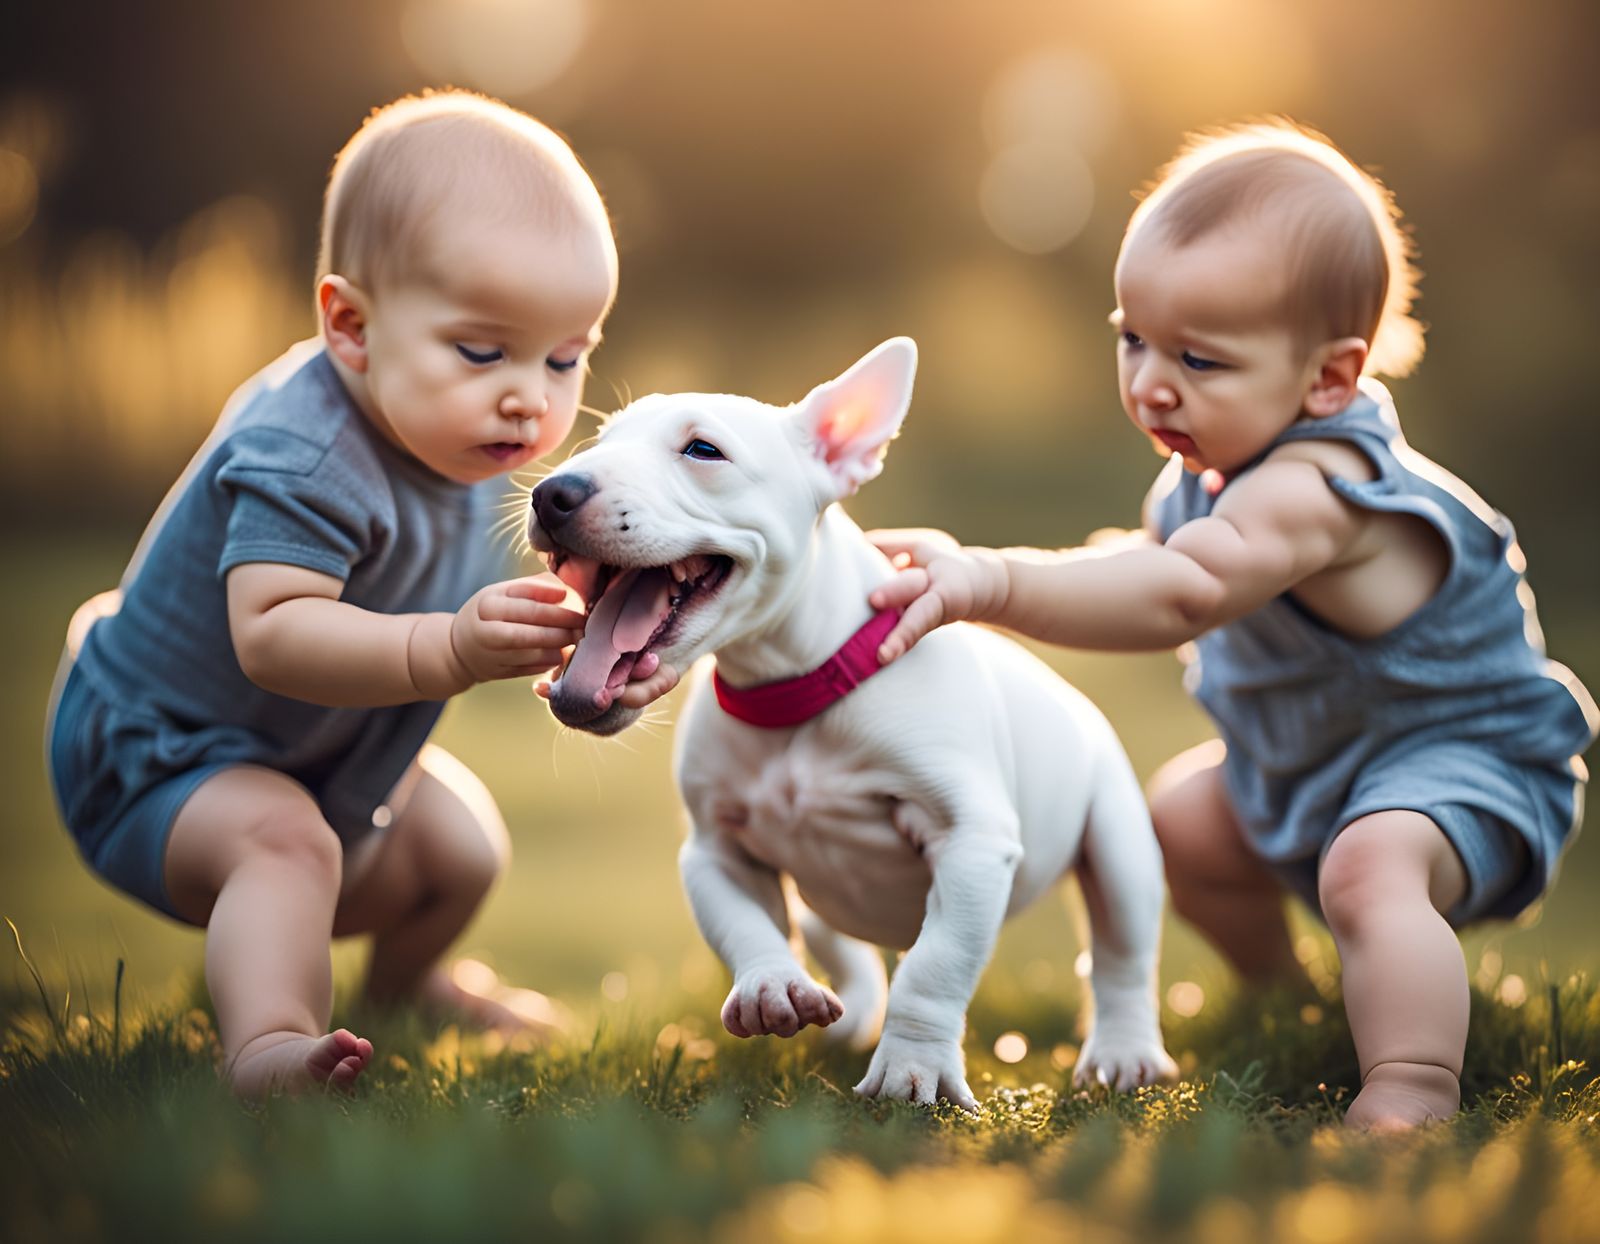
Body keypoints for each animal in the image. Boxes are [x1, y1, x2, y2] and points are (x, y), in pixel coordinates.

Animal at [531, 337, 1171, 1106]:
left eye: (703, 450)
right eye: (597, 444)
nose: (551, 491)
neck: (795, 689)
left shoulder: (971, 840)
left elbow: (936, 963)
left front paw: (911, 1069)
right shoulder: (716, 848)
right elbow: (742, 923)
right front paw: (771, 987)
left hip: (1119, 843)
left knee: (1121, 954)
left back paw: (1123, 1054)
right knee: (841, 943)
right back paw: (849, 1011)